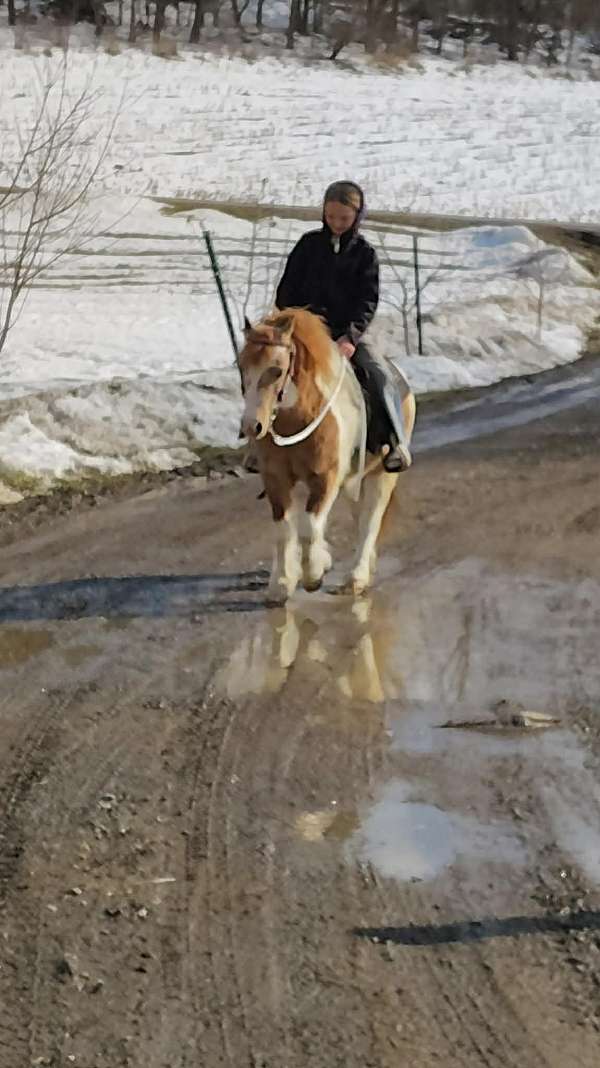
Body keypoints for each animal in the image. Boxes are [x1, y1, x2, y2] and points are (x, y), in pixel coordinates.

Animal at [239, 308, 416, 605]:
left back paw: (356, 578)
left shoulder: (325, 479)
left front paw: (312, 577)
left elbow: (309, 526)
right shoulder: (277, 480)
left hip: (381, 475)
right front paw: (281, 584)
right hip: (354, 478)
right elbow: (284, 529)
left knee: (370, 520)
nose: (253, 427)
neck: (298, 419)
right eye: (241, 367)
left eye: (276, 369)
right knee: (355, 516)